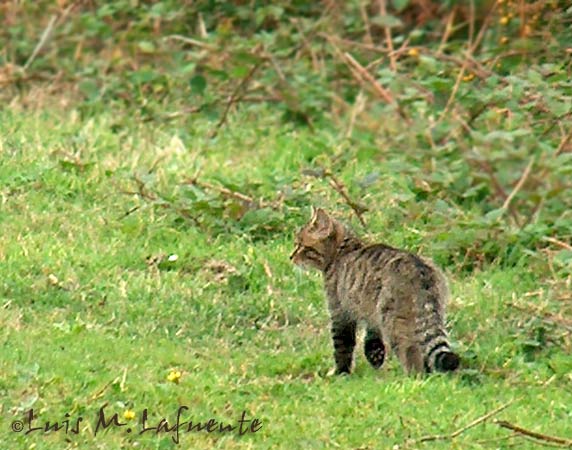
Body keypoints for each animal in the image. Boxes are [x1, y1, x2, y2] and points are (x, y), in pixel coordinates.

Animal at [290, 209, 460, 374]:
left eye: (300, 245)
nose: (291, 256)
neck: (341, 252)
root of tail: (420, 270)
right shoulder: (370, 313)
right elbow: (372, 338)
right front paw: (375, 357)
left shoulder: (340, 313)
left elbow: (342, 346)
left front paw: (341, 372)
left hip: (393, 321)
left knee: (410, 350)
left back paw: (415, 377)